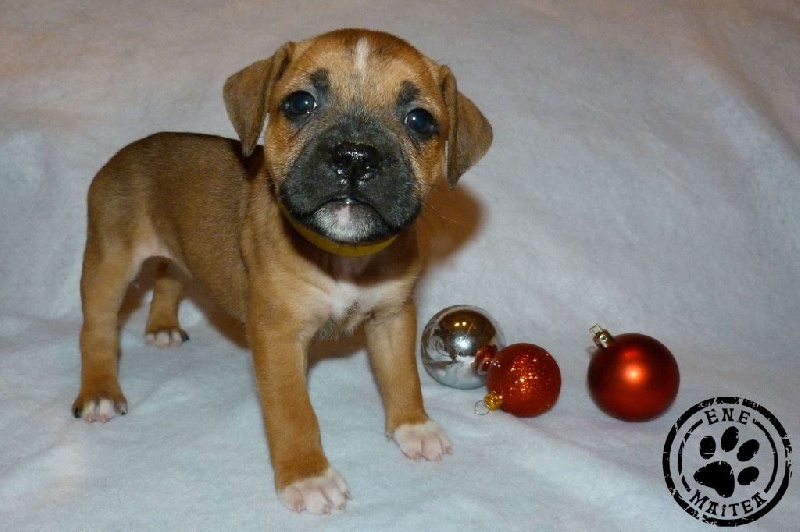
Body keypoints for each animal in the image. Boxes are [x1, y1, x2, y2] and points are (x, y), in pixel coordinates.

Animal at [72, 28, 492, 514]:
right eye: (299, 103)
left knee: (170, 278)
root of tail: (128, 151)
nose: (355, 156)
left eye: (420, 120)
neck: (343, 255)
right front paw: (308, 476)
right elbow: (293, 412)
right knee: (97, 330)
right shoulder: (279, 337)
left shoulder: (393, 316)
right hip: (108, 264)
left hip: (177, 254)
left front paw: (414, 426)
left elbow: (402, 376)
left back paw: (162, 327)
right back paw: (99, 392)